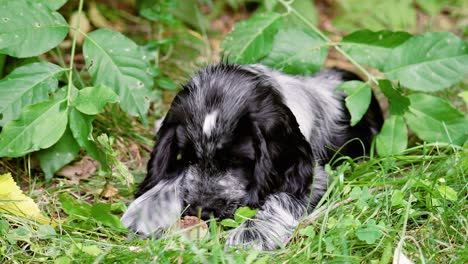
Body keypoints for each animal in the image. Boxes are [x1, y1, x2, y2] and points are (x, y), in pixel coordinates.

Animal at [120, 63, 384, 251]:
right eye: (189, 158)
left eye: (236, 162)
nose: (202, 212)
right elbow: (175, 178)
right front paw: (146, 210)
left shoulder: (314, 177)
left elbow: (280, 198)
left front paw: (250, 235)